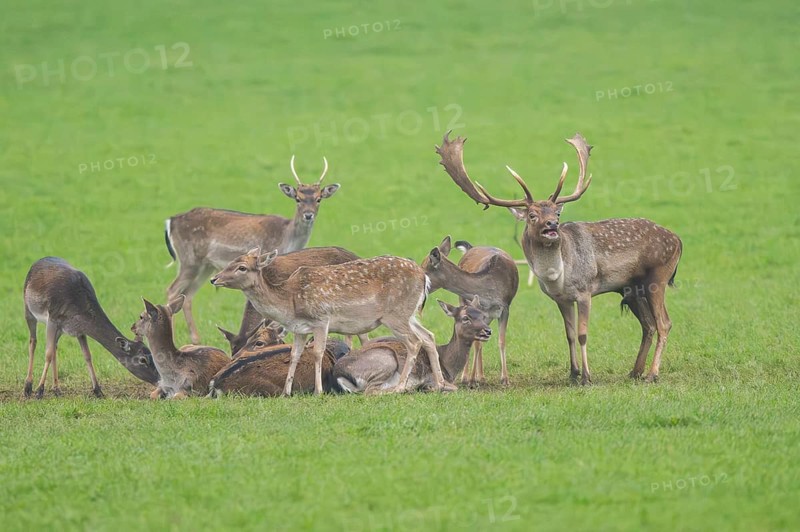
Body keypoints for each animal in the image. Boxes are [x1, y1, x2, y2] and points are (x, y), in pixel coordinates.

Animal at [23, 257, 159, 399]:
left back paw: (57, 389)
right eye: (142, 360)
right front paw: (39, 391)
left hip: (59, 330)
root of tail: (38, 261)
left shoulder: (78, 330)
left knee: (54, 347)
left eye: (151, 355)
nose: (159, 380)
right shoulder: (53, 319)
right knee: (33, 341)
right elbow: (48, 354)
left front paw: (98, 391)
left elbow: (87, 355)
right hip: (28, 308)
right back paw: (28, 387)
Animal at [164, 156, 340, 344]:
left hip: (205, 266)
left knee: (188, 295)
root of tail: (171, 221)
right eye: (297, 198)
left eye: (319, 198)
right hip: (189, 260)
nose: (308, 215)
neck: (287, 237)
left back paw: (196, 339)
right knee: (172, 290)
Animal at [333, 296, 492, 394]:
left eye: (483, 316)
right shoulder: (431, 377)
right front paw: (428, 388)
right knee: (370, 391)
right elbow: (454, 387)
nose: (488, 331)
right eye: (465, 318)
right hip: (386, 359)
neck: (448, 367)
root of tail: (339, 374)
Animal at [421, 236, 518, 386]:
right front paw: (471, 380)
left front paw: (505, 379)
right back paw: (468, 377)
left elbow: (501, 341)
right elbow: (476, 343)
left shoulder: (505, 307)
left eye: (424, 270)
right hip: (463, 301)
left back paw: (481, 377)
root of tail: (470, 247)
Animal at [436, 131, 682, 384]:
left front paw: (587, 377)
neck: (558, 276)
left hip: (658, 277)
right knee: (648, 325)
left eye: (557, 212)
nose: (552, 225)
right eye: (532, 215)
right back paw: (635, 372)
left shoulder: (584, 291)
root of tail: (678, 241)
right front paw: (573, 374)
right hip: (631, 288)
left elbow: (583, 334)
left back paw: (652, 374)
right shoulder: (561, 299)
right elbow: (569, 335)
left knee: (664, 323)